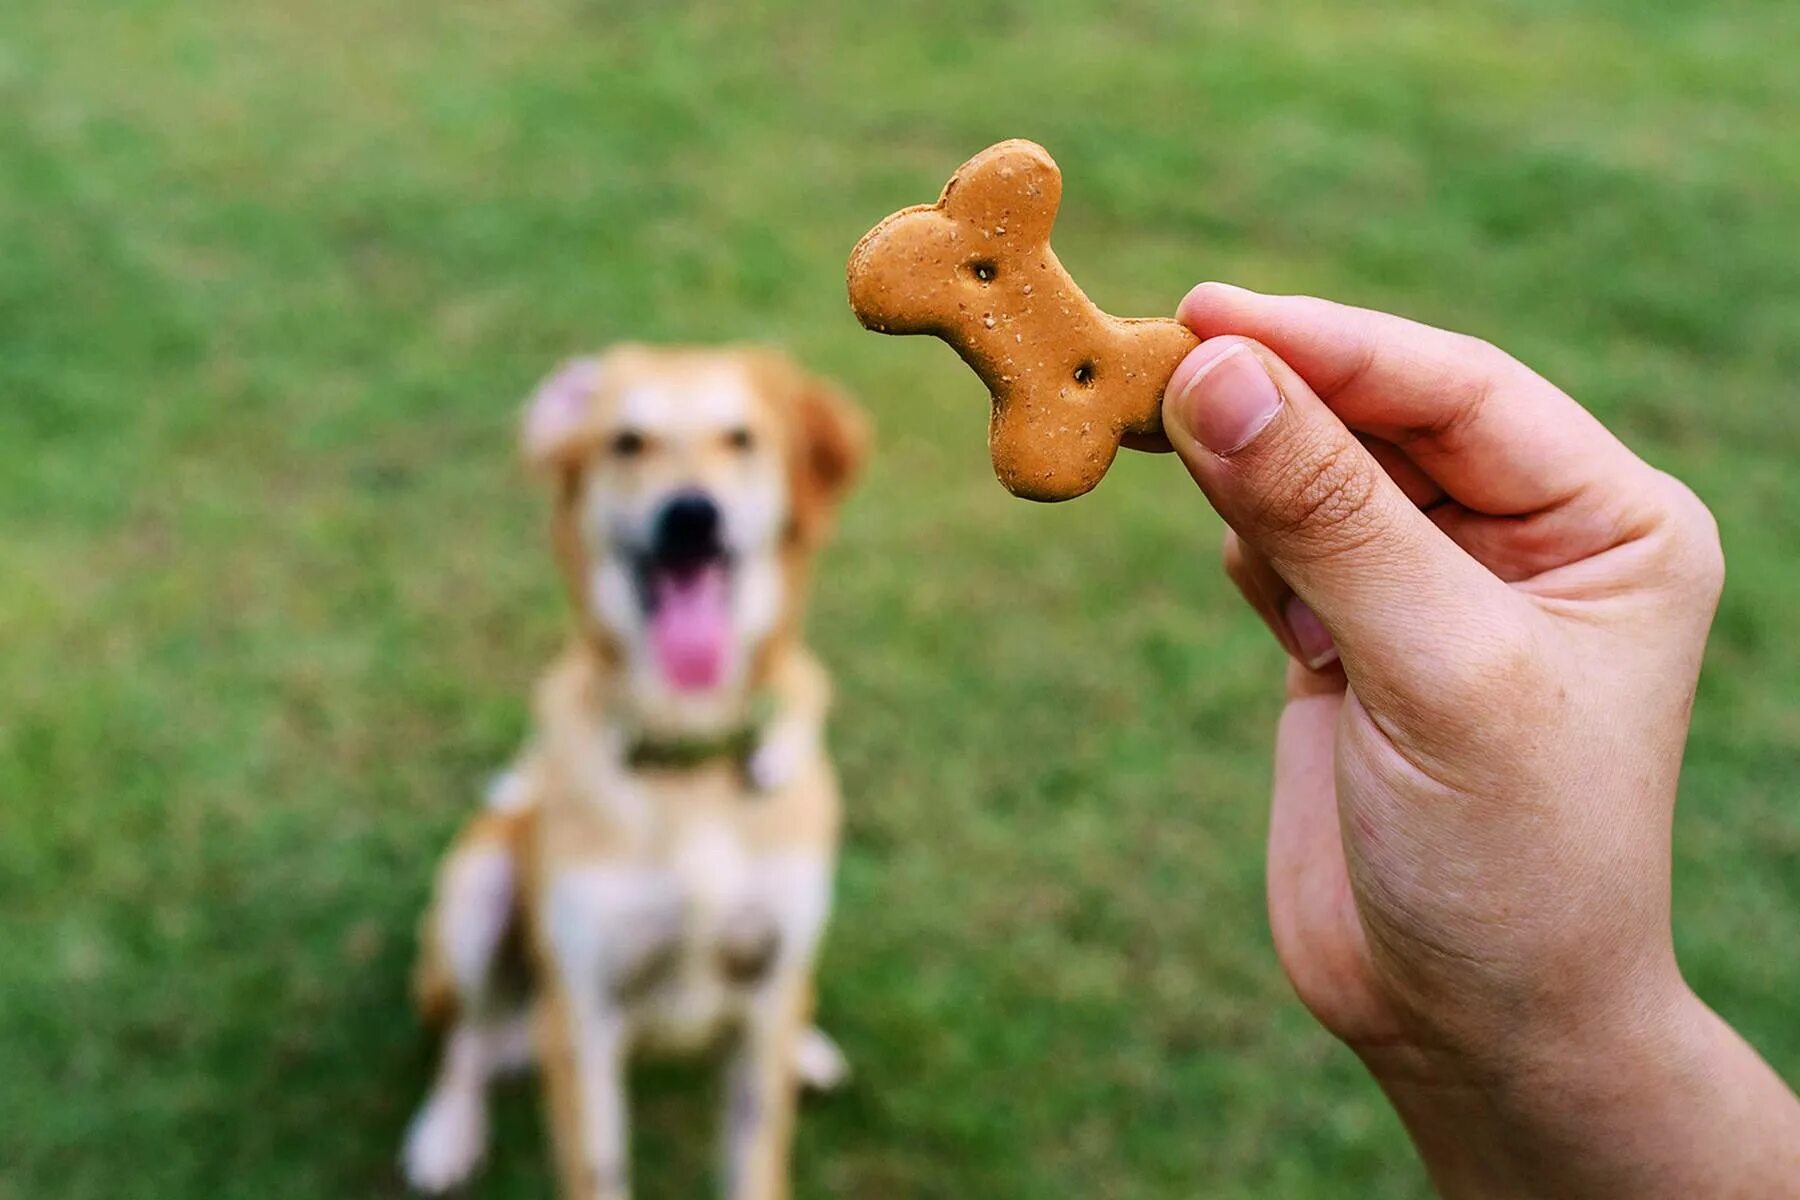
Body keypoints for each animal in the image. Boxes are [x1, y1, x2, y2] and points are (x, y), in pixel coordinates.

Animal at [401, 347, 864, 1200]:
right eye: (626, 442)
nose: (691, 516)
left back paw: (808, 1049)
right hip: (477, 890)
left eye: (741, 438)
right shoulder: (583, 1017)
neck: (689, 756)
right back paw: (447, 1130)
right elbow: (597, 1167)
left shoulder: (765, 989)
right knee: (467, 1038)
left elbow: (755, 1159)